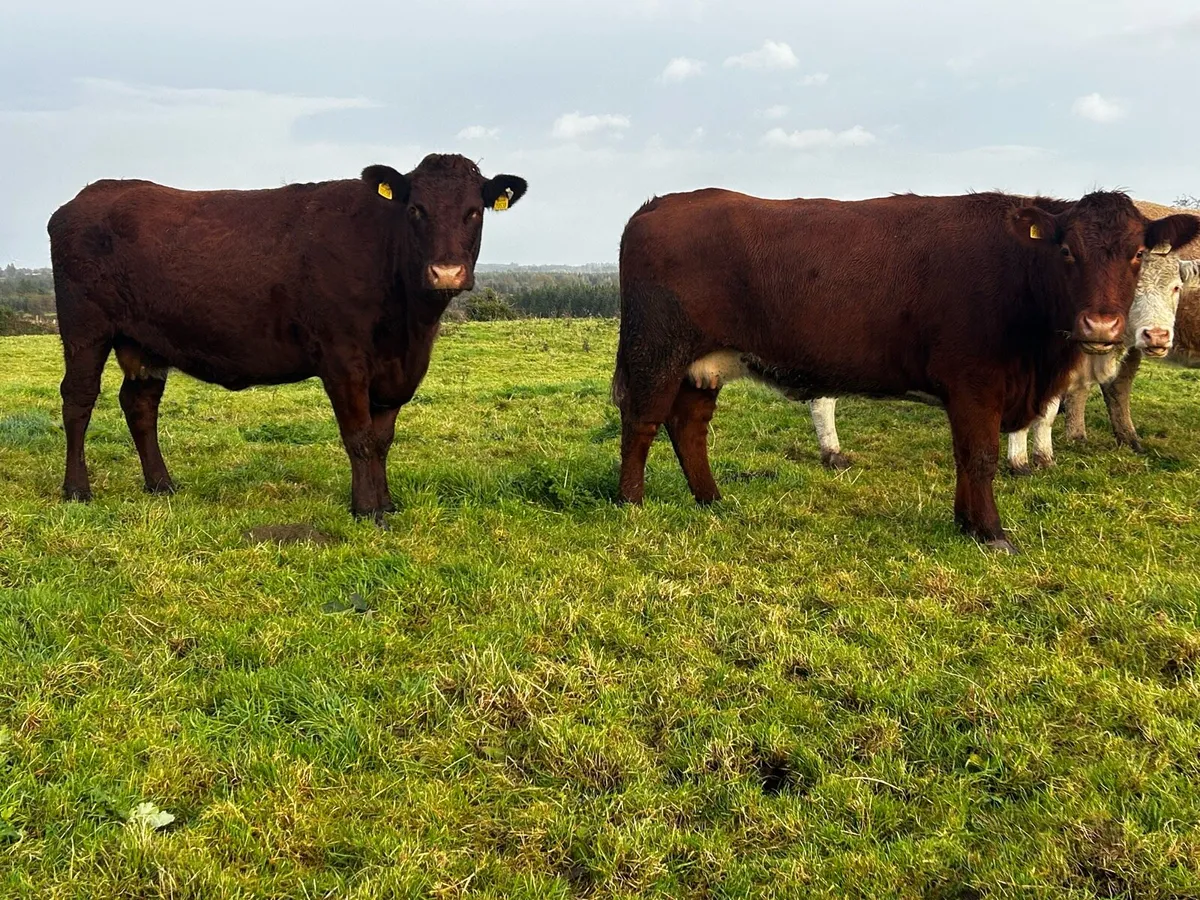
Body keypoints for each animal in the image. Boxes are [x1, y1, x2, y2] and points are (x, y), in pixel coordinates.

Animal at [47, 154, 526, 521]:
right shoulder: (342, 359)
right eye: (416, 209)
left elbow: (383, 439)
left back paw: (161, 484)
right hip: (84, 327)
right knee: (78, 398)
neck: (410, 328)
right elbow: (360, 438)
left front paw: (386, 503)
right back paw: (77, 490)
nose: (446, 272)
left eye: (474, 211)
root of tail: (89, 195)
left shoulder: (396, 372)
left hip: (143, 341)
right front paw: (367, 510)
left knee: (140, 404)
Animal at [612, 188, 1200, 553]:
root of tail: (658, 206)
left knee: (688, 425)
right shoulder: (976, 383)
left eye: (1137, 254)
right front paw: (991, 531)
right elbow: (980, 457)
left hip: (703, 365)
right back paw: (631, 503)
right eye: (1068, 251)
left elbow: (966, 457)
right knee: (642, 421)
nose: (1101, 324)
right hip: (655, 350)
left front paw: (966, 523)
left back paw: (711, 500)